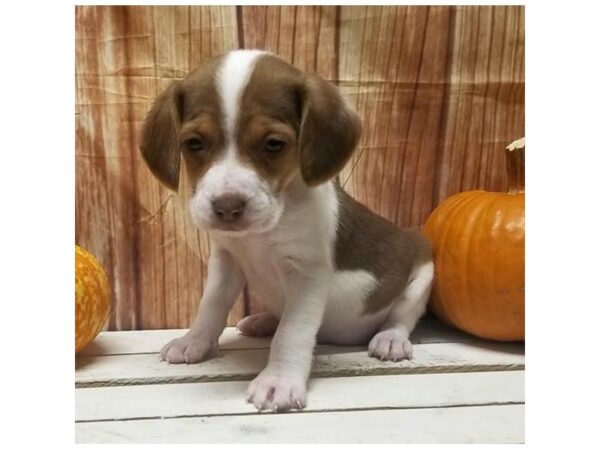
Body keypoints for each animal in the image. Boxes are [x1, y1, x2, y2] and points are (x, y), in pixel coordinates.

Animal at [139, 49, 432, 412]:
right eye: (193, 143)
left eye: (274, 144)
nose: (227, 207)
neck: (263, 230)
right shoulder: (226, 261)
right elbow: (210, 307)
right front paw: (195, 340)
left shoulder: (307, 276)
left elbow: (291, 334)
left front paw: (278, 381)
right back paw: (263, 320)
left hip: (423, 270)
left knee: (403, 316)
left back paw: (390, 338)